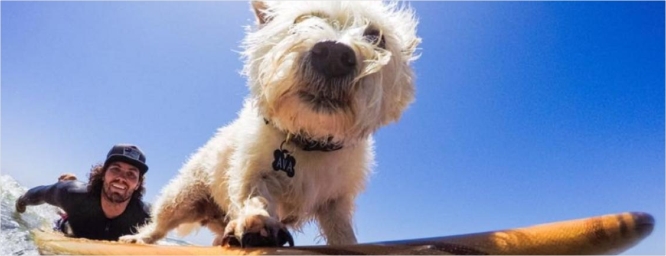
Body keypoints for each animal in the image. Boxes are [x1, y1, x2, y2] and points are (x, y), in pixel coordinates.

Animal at [120, 0, 416, 248]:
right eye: (302, 20)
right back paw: (139, 237)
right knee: (160, 222)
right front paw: (257, 222)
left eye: (376, 36)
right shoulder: (251, 171)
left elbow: (341, 230)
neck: (309, 139)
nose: (333, 55)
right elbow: (256, 196)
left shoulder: (336, 199)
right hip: (183, 194)